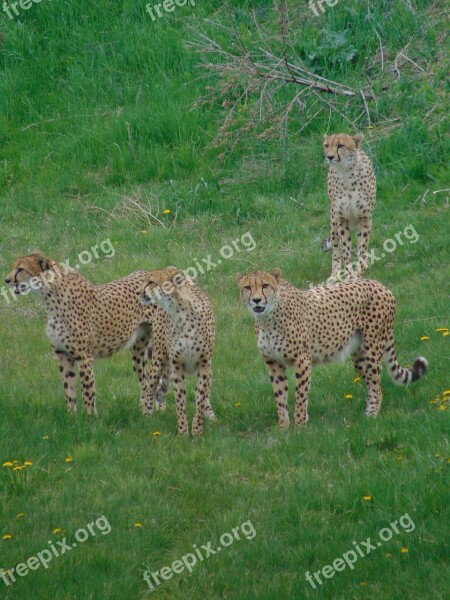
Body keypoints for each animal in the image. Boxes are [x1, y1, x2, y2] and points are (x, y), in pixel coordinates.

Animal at [5, 251, 168, 414]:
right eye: (13, 267)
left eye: (21, 269)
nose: (6, 280)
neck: (49, 296)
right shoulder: (62, 354)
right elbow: (69, 390)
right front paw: (71, 416)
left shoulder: (84, 357)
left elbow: (87, 391)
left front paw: (90, 417)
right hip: (139, 350)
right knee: (146, 382)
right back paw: (145, 410)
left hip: (160, 347)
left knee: (159, 381)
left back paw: (157, 411)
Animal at [138, 268, 215, 436]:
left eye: (151, 282)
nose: (137, 292)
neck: (179, 312)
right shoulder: (177, 365)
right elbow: (180, 400)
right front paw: (183, 432)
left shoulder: (204, 364)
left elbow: (200, 397)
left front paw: (197, 431)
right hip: (159, 359)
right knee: (150, 388)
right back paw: (147, 415)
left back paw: (211, 416)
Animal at [236, 270, 428, 428]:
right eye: (247, 287)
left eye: (265, 285)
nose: (256, 300)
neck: (267, 318)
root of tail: (380, 285)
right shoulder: (273, 364)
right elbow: (280, 397)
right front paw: (284, 427)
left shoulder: (302, 360)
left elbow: (300, 396)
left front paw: (300, 426)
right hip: (359, 357)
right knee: (372, 382)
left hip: (372, 349)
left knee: (376, 384)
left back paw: (371, 415)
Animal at [322, 133, 378, 282]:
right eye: (326, 145)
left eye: (341, 145)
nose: (329, 157)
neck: (346, 172)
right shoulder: (341, 219)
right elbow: (345, 250)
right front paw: (348, 275)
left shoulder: (365, 217)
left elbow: (362, 248)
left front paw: (359, 272)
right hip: (333, 221)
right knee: (336, 249)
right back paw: (334, 274)